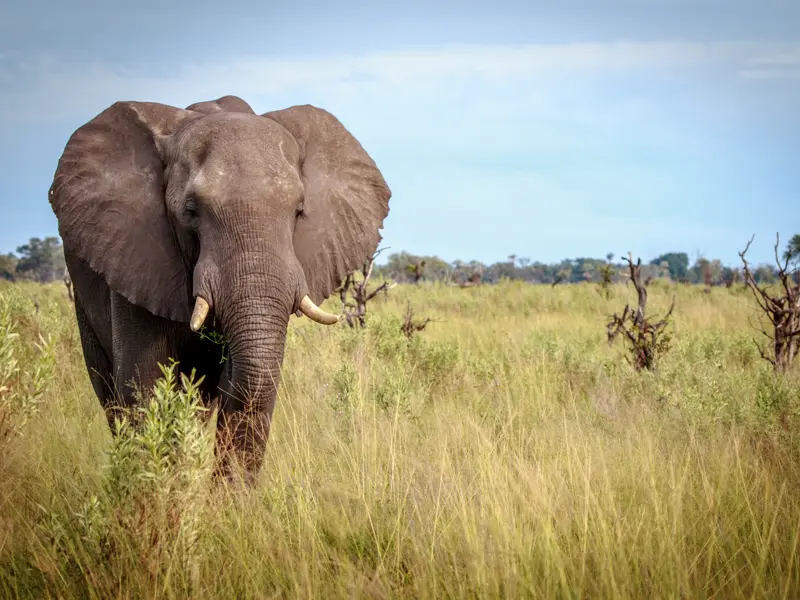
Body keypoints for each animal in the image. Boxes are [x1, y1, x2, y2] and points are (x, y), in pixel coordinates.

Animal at [48, 94, 392, 486]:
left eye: (299, 211)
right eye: (191, 211)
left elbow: (243, 379)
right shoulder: (133, 252)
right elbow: (144, 384)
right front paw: (157, 494)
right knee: (108, 391)